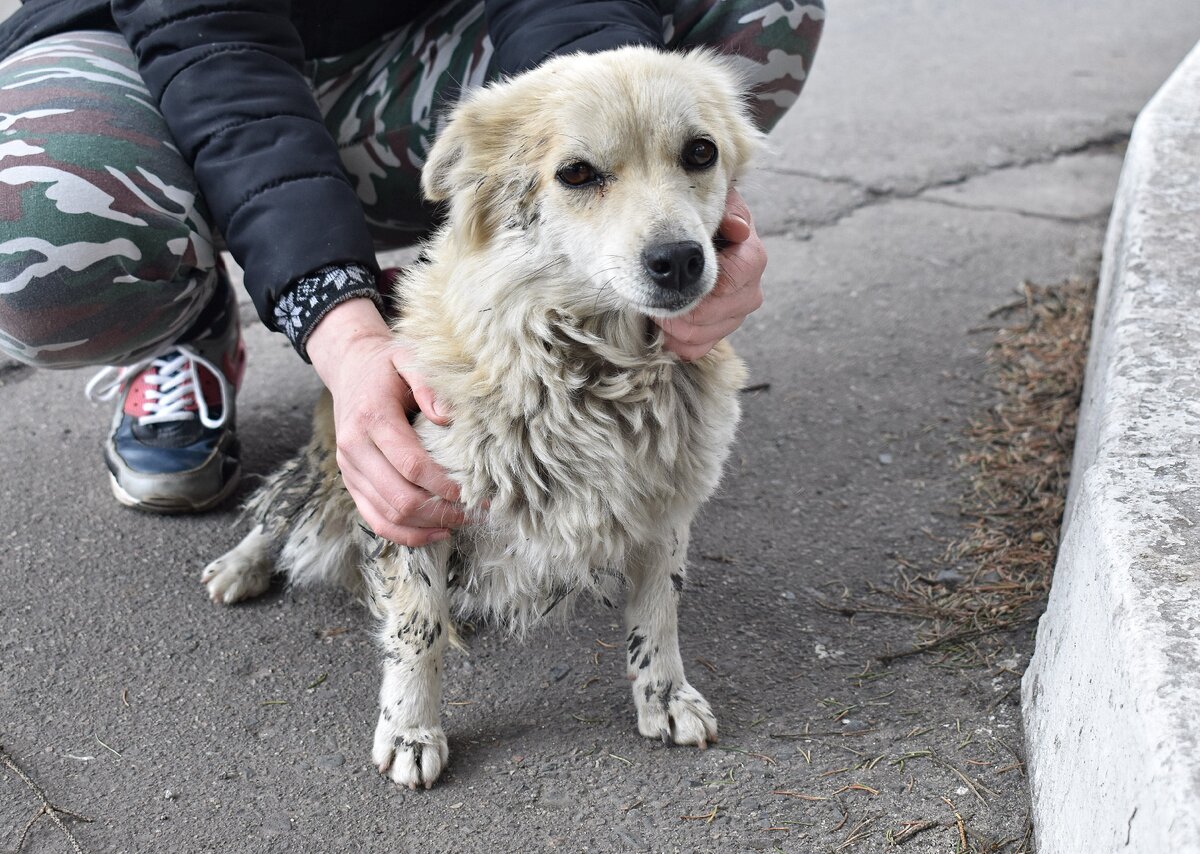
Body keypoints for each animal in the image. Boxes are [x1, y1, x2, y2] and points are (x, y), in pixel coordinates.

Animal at [196, 46, 758, 786]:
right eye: (576, 173)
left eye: (700, 152)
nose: (681, 260)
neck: (591, 369)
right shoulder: (406, 499)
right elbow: (418, 628)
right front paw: (410, 728)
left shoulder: (666, 502)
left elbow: (659, 611)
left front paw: (663, 694)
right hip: (330, 466)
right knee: (283, 506)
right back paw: (242, 564)